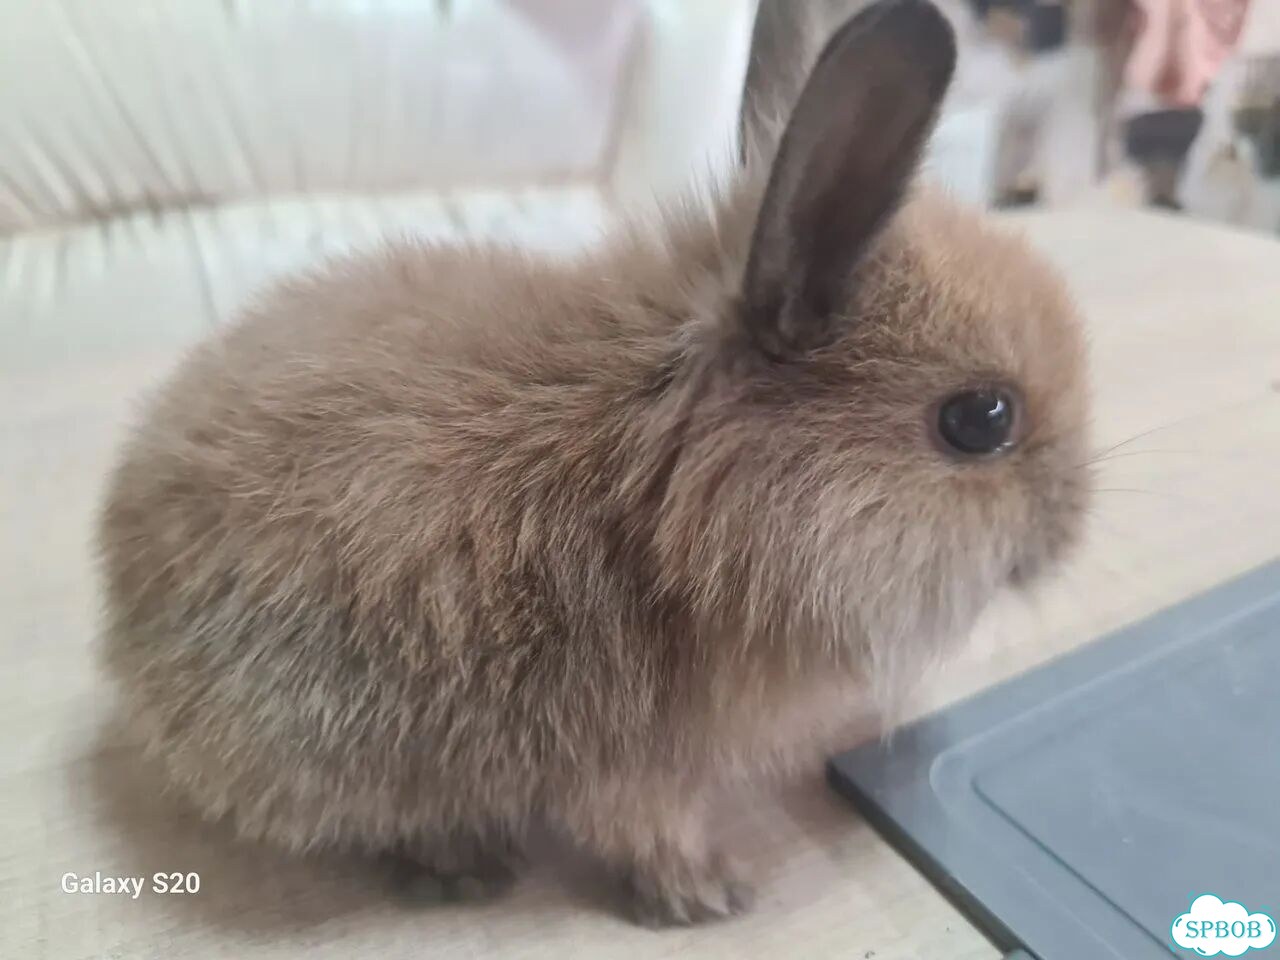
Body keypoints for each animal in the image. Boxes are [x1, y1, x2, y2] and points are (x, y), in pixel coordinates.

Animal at [97, 0, 1090, 927]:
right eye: (980, 420)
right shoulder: (637, 764)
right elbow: (647, 833)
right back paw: (464, 864)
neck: (663, 487)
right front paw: (711, 895)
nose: (1070, 533)